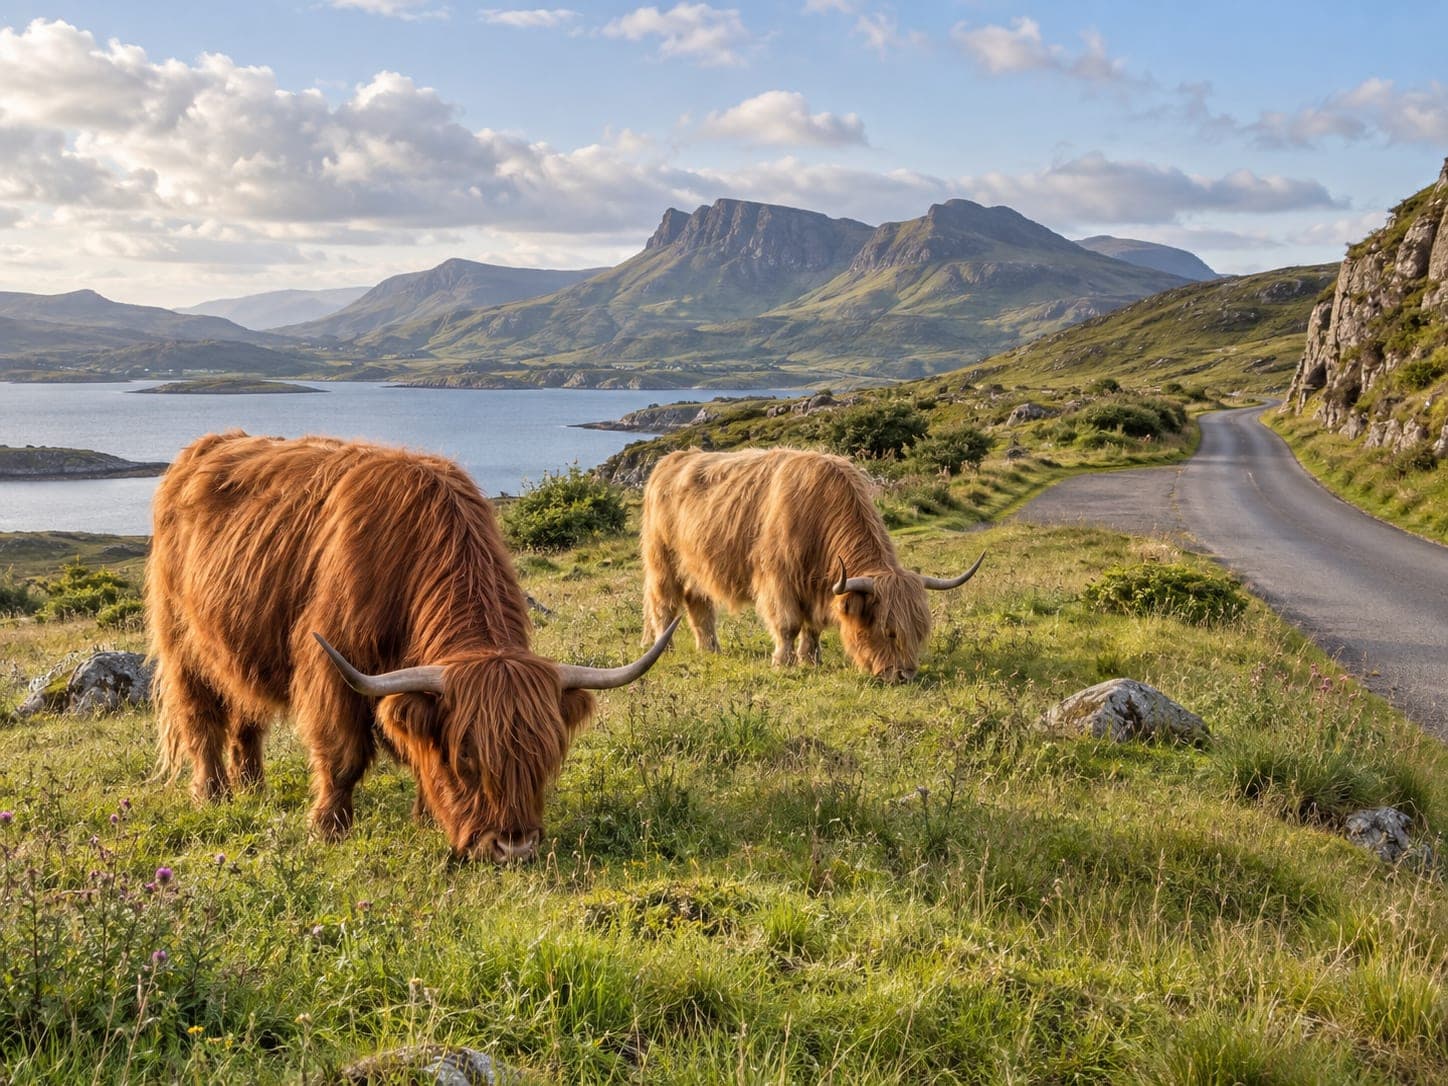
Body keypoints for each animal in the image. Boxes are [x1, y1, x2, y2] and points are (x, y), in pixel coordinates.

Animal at [146, 432, 676, 864]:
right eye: (466, 757)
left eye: (547, 754)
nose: (514, 846)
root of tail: (202, 448)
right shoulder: (330, 670)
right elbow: (342, 755)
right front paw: (327, 828)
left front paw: (424, 816)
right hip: (181, 641)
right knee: (201, 719)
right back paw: (213, 794)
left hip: (239, 644)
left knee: (246, 715)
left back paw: (254, 788)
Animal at [639, 447, 983, 682]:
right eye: (888, 631)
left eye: (920, 631)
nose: (904, 675)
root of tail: (671, 459)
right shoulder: (778, 580)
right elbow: (788, 624)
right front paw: (783, 662)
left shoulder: (819, 587)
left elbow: (813, 627)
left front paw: (811, 659)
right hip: (662, 561)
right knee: (663, 604)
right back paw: (664, 648)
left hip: (696, 566)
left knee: (698, 604)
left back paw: (710, 649)